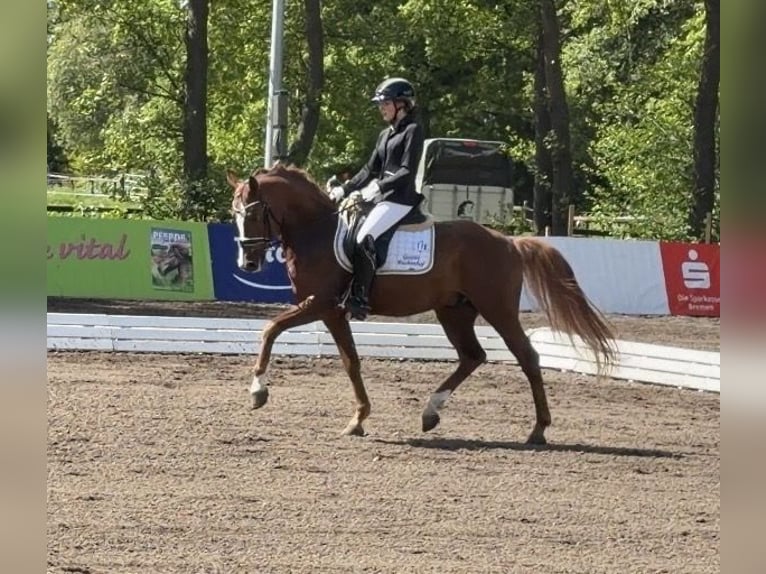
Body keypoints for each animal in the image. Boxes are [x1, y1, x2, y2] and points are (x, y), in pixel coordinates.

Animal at [227, 164, 616, 444]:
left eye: (253, 213)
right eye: (234, 214)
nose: (248, 264)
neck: (315, 231)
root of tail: (508, 241)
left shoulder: (321, 304)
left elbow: (270, 329)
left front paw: (258, 392)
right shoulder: (332, 312)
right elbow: (351, 362)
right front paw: (358, 420)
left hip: (498, 309)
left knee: (527, 357)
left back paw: (538, 430)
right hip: (454, 311)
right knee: (473, 356)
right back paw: (431, 412)